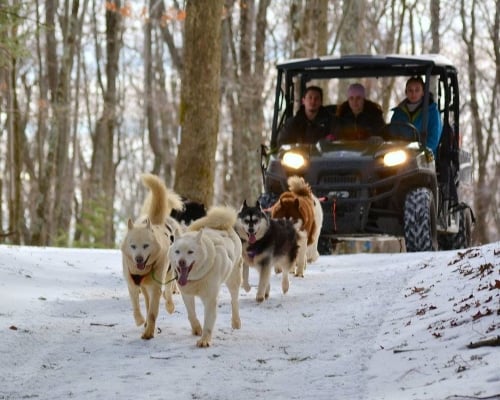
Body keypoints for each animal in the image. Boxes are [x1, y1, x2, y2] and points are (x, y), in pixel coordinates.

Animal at [121, 173, 184, 340]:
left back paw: (169, 305)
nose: (139, 259)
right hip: (145, 286)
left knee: (167, 291)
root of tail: (156, 222)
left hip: (169, 272)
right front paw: (140, 321)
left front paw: (149, 332)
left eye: (146, 245)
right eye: (133, 246)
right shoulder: (132, 285)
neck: (142, 271)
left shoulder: (156, 285)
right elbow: (137, 306)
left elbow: (153, 311)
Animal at [168, 206, 242, 346]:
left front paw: (204, 340)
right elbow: (191, 314)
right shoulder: (187, 294)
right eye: (177, 251)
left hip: (233, 279)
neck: (197, 278)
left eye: (190, 252)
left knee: (234, 300)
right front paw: (197, 329)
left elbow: (208, 320)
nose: (181, 262)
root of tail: (223, 226)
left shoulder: (210, 298)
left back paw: (236, 322)